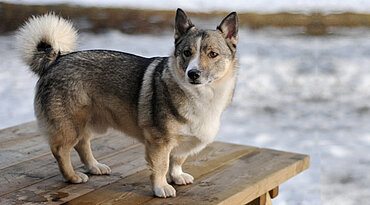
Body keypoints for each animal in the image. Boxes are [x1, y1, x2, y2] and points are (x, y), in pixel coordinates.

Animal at [15, 8, 238, 198]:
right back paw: (72, 177)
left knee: (82, 144)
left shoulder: (179, 143)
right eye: (187, 53)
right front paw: (161, 187)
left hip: (87, 121)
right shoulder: (159, 142)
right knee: (61, 150)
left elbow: (177, 160)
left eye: (212, 54)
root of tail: (56, 59)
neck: (202, 95)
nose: (193, 74)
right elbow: (161, 166)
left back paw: (94, 166)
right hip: (71, 124)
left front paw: (176, 176)